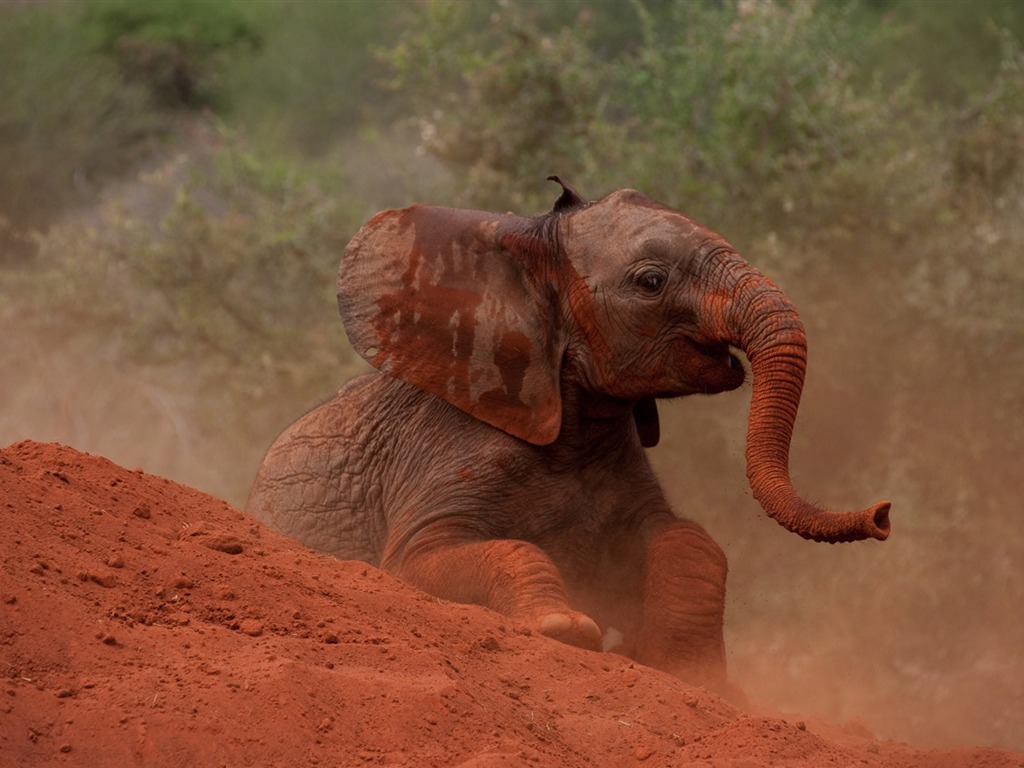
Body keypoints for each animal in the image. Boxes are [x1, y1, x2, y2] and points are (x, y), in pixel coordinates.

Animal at [247, 179, 888, 692]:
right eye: (651, 281)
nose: (883, 514)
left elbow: (688, 541)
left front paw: (689, 671)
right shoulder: (443, 455)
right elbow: (424, 560)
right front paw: (567, 629)